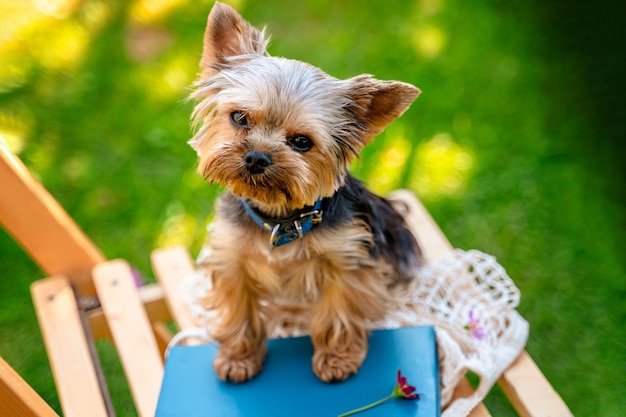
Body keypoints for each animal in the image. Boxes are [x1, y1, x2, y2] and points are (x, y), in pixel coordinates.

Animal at [190, 1, 422, 382]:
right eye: (239, 118)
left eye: (301, 142)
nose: (256, 157)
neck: (279, 219)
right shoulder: (232, 259)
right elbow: (239, 311)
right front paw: (239, 357)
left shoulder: (349, 260)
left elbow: (339, 311)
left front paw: (337, 358)